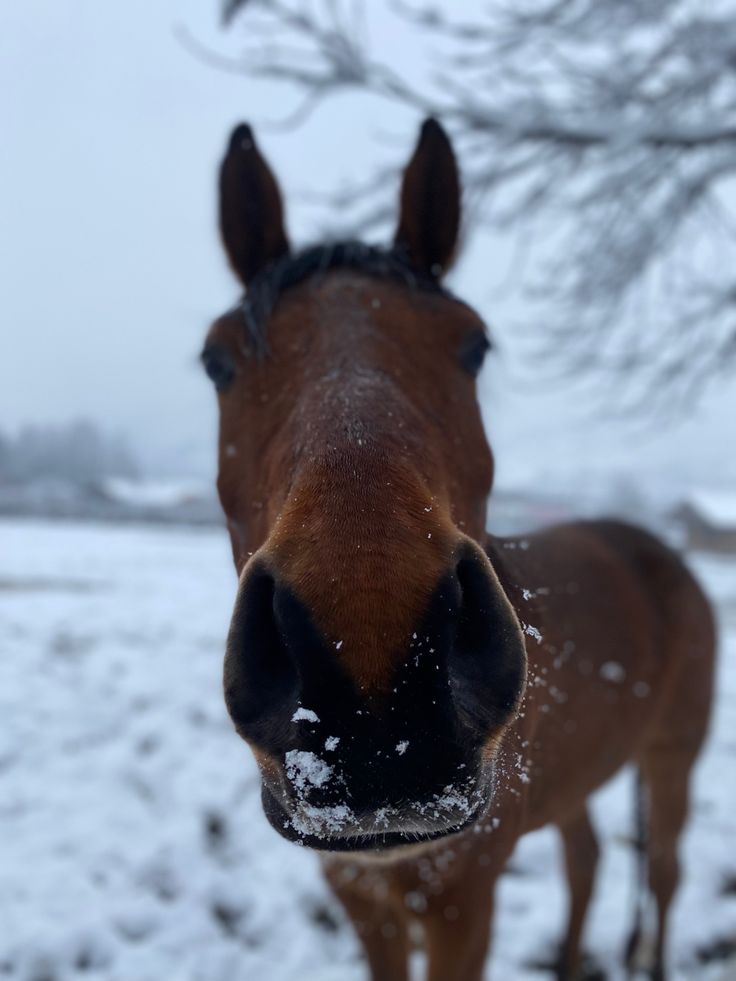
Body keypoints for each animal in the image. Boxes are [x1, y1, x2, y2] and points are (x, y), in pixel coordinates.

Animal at [201, 117, 712, 980]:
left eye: (475, 344)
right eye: (217, 359)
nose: (373, 671)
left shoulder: (460, 899)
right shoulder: (360, 892)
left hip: (673, 756)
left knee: (666, 872)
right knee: (587, 858)